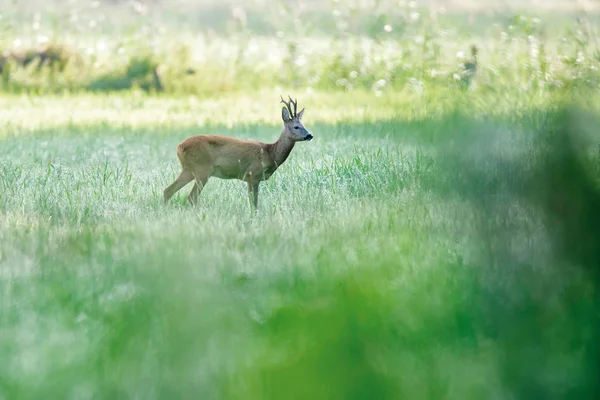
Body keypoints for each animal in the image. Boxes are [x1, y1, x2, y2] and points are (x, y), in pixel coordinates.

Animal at [163, 96, 314, 212]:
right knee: (192, 196)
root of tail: (179, 147)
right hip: (202, 169)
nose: (309, 135)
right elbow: (254, 202)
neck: (270, 153)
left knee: (168, 190)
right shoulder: (253, 174)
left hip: (189, 169)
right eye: (296, 127)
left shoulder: (251, 178)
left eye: (304, 125)